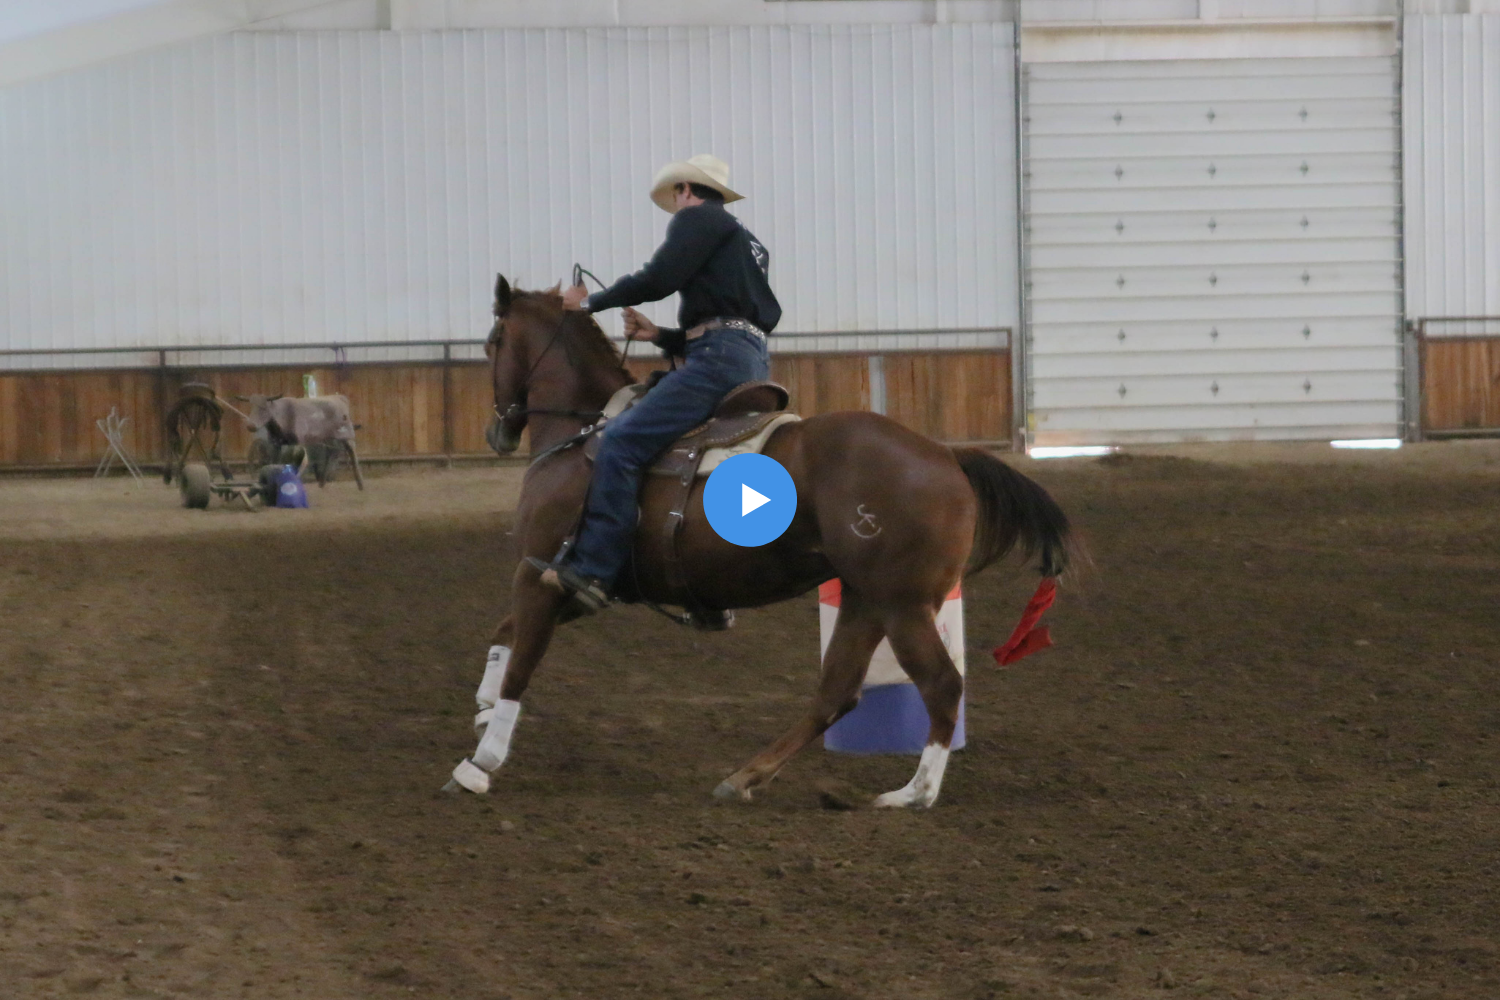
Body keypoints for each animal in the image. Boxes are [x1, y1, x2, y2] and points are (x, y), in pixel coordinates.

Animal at [447, 277, 1080, 809]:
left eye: (492, 342)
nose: (497, 431)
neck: (583, 435)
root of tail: (947, 455)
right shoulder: (575, 582)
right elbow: (505, 634)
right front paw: (482, 708)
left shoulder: (540, 574)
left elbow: (522, 663)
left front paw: (481, 762)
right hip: (864, 599)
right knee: (837, 693)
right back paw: (746, 776)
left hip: (902, 604)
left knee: (941, 686)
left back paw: (911, 795)